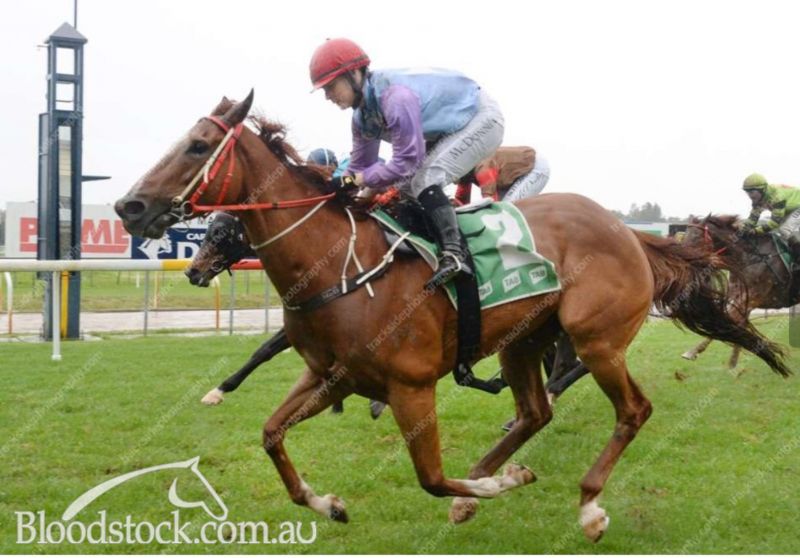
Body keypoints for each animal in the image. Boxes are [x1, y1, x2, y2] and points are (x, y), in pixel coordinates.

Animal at [681, 214, 797, 368]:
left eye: (695, 238)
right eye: (684, 237)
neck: (747, 258)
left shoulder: (753, 297)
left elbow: (728, 320)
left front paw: (692, 351)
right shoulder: (737, 295)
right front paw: (733, 362)